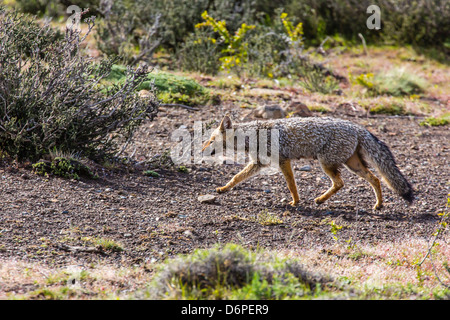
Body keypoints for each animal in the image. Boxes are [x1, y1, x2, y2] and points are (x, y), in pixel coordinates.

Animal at [202, 115, 414, 210]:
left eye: (211, 140)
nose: (201, 150)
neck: (253, 136)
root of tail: (355, 126)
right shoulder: (259, 163)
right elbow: (237, 177)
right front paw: (223, 189)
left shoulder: (283, 160)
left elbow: (291, 184)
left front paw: (295, 201)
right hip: (352, 165)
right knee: (376, 179)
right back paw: (378, 204)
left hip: (326, 164)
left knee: (340, 183)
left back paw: (320, 199)